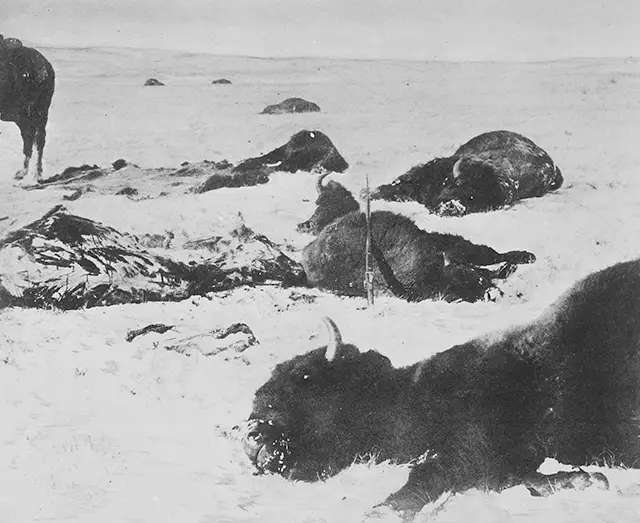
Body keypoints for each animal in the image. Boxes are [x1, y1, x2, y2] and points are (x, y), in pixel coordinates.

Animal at [242, 258, 640, 520]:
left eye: (304, 377)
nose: (252, 435)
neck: (416, 395)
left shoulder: (472, 447)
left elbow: (432, 474)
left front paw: (383, 509)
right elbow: (515, 478)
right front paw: (587, 479)